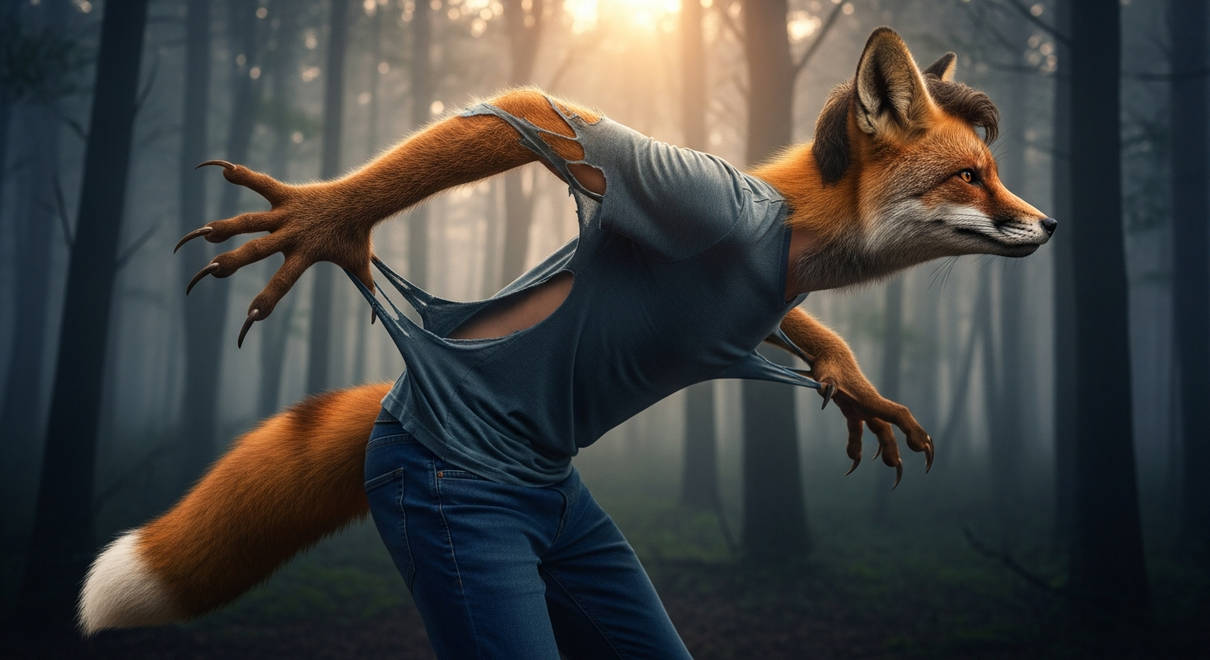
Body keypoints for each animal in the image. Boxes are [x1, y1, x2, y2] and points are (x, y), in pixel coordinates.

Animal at [77, 28, 1053, 635]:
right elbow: (533, 108)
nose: (1048, 226)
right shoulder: (699, 195)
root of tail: (406, 401)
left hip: (586, 553)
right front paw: (326, 221)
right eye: (971, 177)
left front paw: (853, 383)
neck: (793, 242)